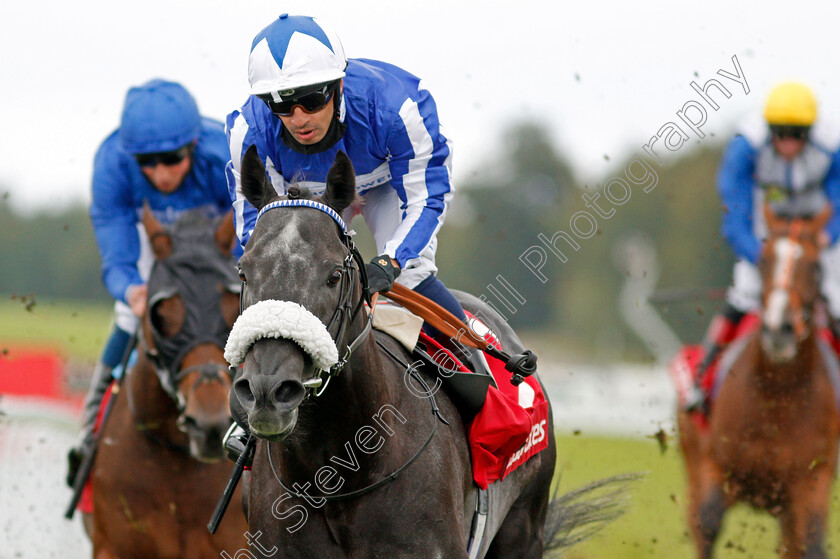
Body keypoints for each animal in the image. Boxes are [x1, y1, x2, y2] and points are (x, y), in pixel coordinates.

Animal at [680, 207, 840, 559]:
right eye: (764, 261)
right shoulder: (717, 466)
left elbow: (812, 543)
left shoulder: (811, 479)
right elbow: (708, 524)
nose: (779, 330)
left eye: (816, 267)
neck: (777, 397)